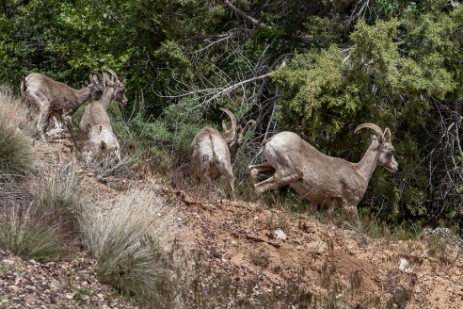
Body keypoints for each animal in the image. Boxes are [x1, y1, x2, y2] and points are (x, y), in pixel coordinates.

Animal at [250, 122, 398, 226]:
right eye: (390, 150)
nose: (396, 167)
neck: (360, 172)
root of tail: (272, 140)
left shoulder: (320, 205)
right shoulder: (350, 205)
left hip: (271, 166)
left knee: (253, 170)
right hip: (289, 173)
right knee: (259, 187)